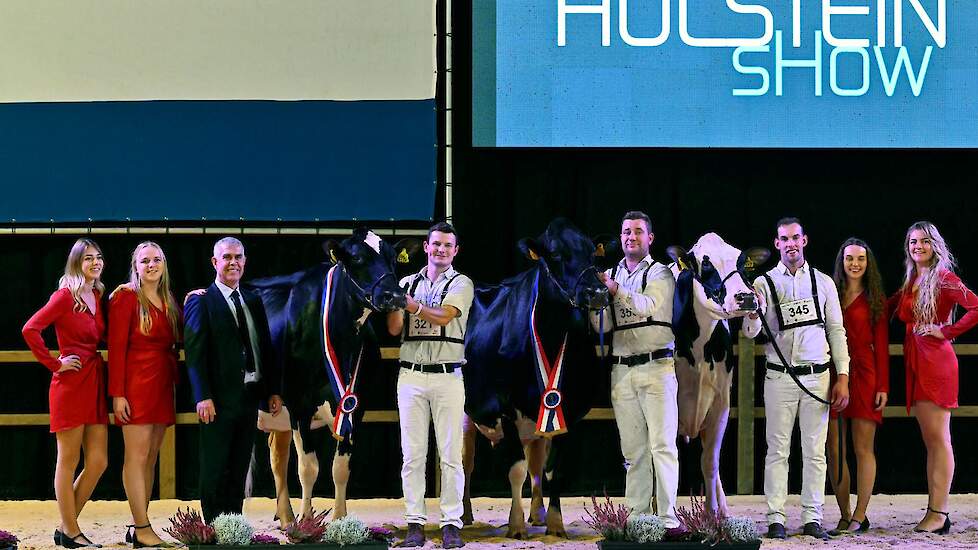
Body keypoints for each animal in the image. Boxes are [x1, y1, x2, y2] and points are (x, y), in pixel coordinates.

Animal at [248, 230, 412, 532]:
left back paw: (285, 516)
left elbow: (340, 467)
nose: (395, 295)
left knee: (277, 456)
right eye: (357, 258)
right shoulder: (299, 404)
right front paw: (307, 522)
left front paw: (340, 520)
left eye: (394, 259)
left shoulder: (355, 406)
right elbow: (308, 467)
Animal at [462, 219, 608, 540]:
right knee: (465, 462)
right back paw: (464, 514)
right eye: (555, 254)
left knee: (537, 462)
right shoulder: (504, 406)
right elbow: (516, 469)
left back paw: (538, 513)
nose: (598, 291)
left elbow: (554, 470)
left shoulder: (569, 409)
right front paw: (516, 526)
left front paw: (555, 523)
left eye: (593, 253)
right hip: (466, 411)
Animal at [668, 234, 768, 516]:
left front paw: (712, 515)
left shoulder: (721, 402)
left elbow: (710, 463)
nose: (746, 297)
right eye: (706, 264)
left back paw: (722, 508)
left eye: (743, 263)